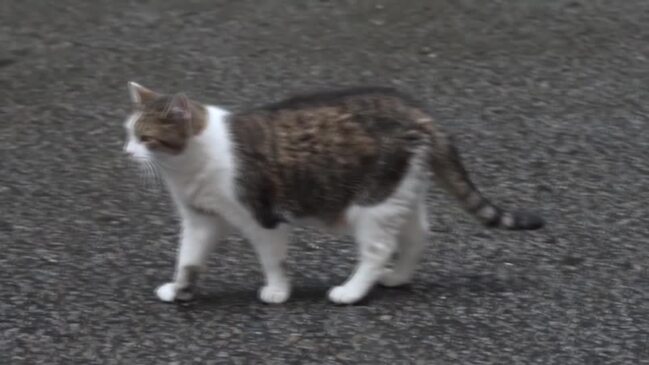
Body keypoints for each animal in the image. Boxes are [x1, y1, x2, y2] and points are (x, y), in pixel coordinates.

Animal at [123, 80, 540, 304]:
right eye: (128, 133)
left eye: (146, 138)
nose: (125, 151)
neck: (187, 166)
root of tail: (418, 113)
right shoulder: (201, 220)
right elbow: (188, 259)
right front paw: (180, 290)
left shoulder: (263, 217)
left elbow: (273, 260)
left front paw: (277, 292)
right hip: (397, 193)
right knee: (417, 234)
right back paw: (398, 277)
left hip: (371, 204)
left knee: (377, 249)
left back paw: (351, 291)